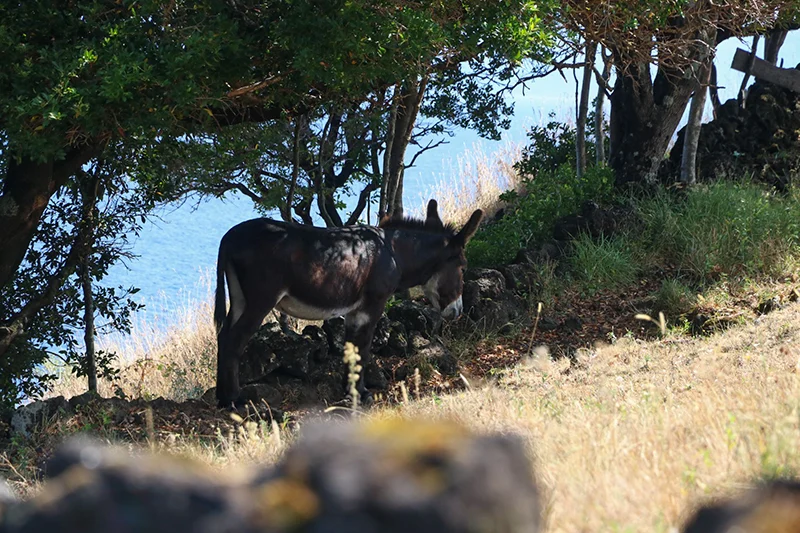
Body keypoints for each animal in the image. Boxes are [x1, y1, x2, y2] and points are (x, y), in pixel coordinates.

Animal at [213, 199, 483, 408]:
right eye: (463, 267)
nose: (458, 312)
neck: (393, 253)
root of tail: (228, 237)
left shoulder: (354, 311)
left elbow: (351, 347)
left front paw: (350, 391)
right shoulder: (372, 306)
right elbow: (363, 347)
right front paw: (362, 394)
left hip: (240, 298)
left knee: (223, 336)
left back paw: (221, 397)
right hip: (261, 300)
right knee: (234, 341)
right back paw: (233, 400)